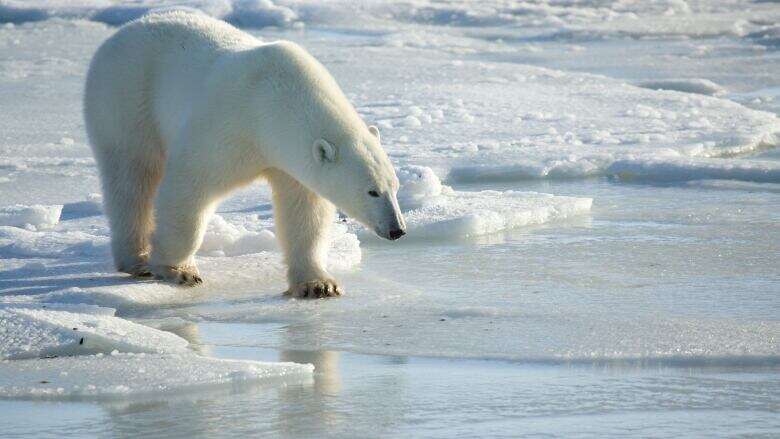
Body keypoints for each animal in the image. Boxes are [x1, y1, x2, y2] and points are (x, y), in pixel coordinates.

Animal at [84, 11, 406, 300]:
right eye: (372, 191)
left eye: (395, 187)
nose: (398, 230)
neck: (273, 103)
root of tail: (121, 32)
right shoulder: (229, 126)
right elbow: (190, 185)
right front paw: (179, 270)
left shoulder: (289, 160)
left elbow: (304, 212)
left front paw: (318, 284)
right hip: (126, 99)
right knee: (132, 176)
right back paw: (137, 259)